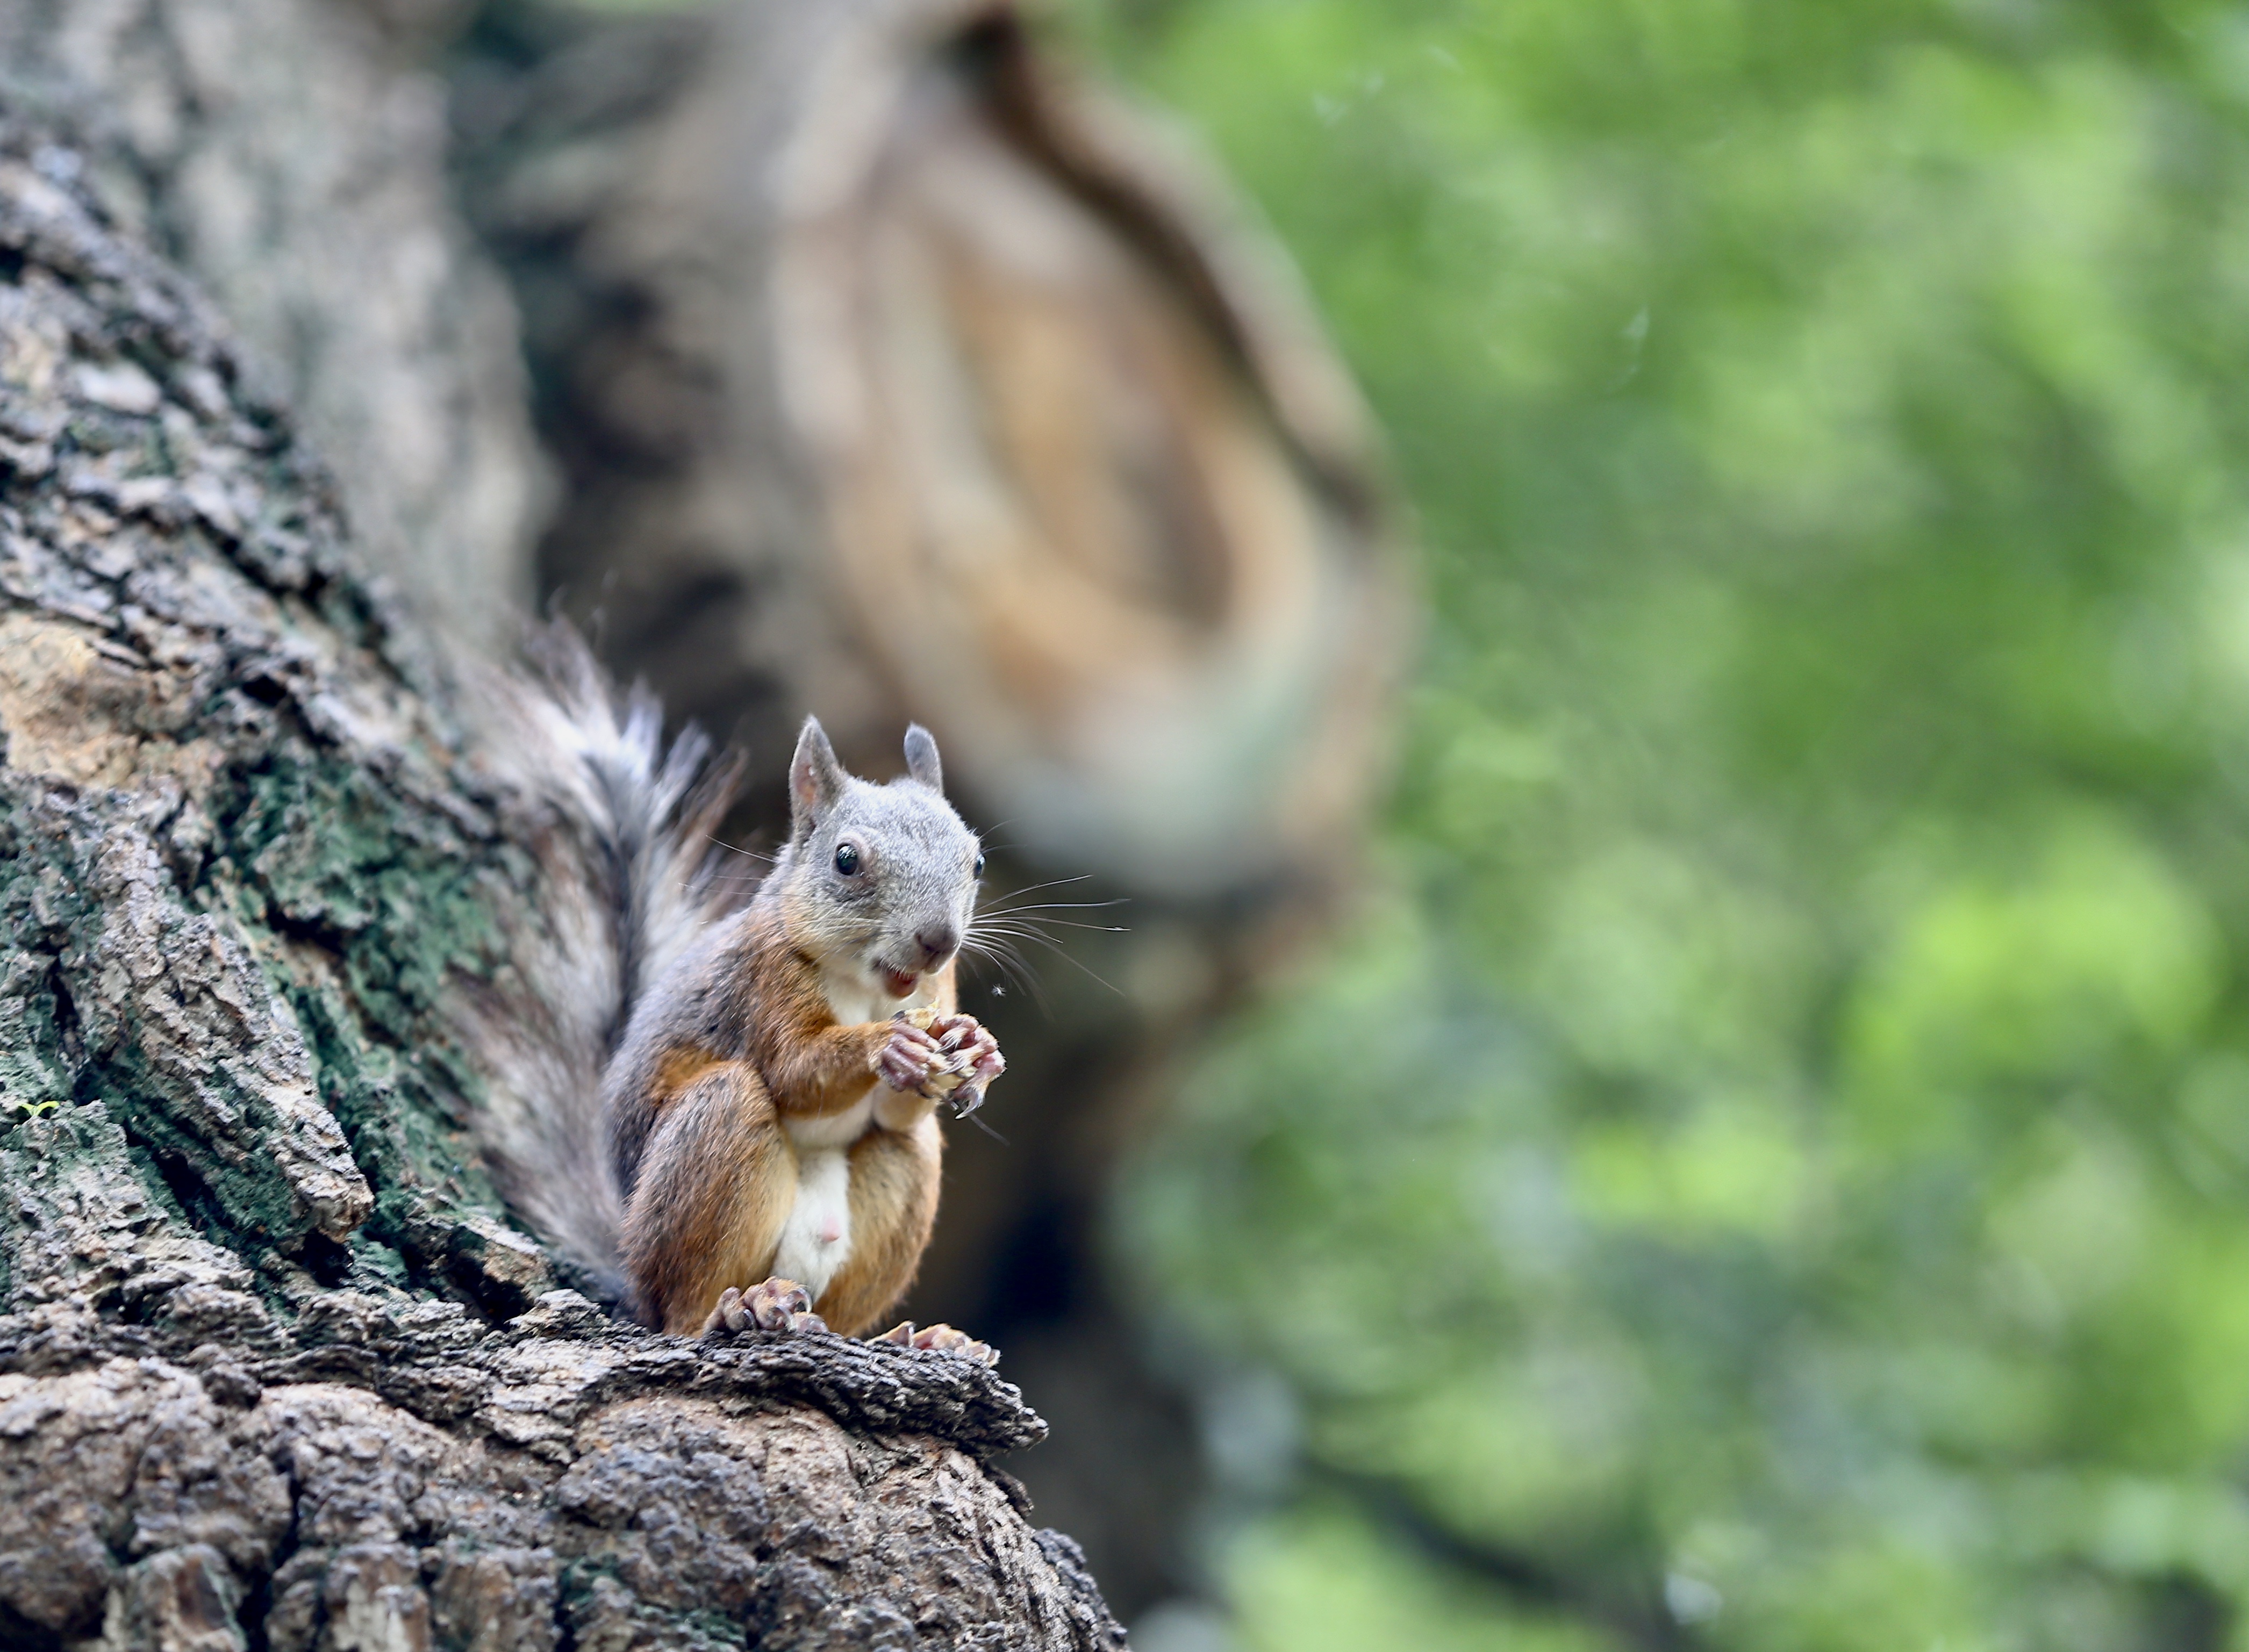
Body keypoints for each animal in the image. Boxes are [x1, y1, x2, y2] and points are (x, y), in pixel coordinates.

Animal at [461, 629, 1007, 1357]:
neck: (867, 983)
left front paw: (977, 1050)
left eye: (975, 860)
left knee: (876, 1218)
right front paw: (884, 1045)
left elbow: (900, 1110)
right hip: (711, 1143)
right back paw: (733, 1310)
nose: (938, 940)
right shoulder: (762, 981)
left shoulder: (936, 990)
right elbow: (795, 1069)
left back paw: (913, 1337)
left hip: (894, 1191)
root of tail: (629, 1257)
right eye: (845, 860)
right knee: (682, 1305)